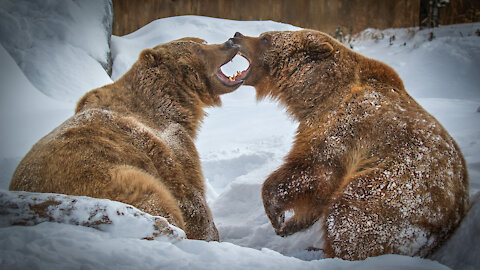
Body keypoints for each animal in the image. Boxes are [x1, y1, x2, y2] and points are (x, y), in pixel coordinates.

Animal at [9, 36, 249, 240]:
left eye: (203, 41)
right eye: (198, 47)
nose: (229, 42)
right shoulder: (170, 144)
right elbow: (192, 200)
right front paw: (209, 235)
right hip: (112, 181)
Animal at [231, 30, 470, 260]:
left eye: (265, 38)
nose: (236, 36)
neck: (319, 92)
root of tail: (456, 214)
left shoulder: (345, 123)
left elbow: (315, 170)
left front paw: (278, 217)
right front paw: (295, 222)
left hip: (401, 192)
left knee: (351, 210)